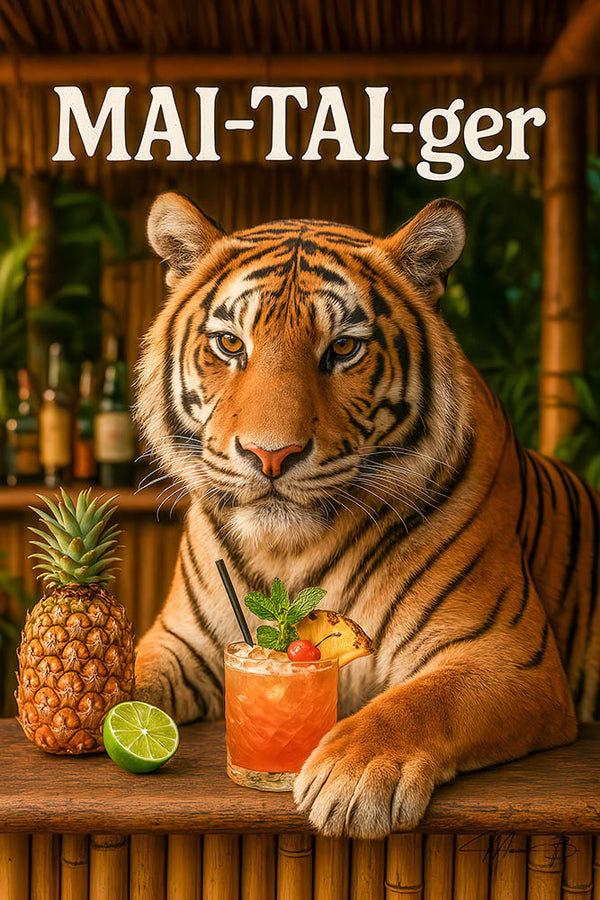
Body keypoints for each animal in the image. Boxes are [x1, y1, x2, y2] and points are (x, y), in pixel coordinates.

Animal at [134, 190, 599, 839]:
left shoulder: (508, 654)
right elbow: (130, 675)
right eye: (230, 344)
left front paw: (356, 773)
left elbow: (422, 701)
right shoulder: (182, 642)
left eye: (343, 348)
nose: (269, 455)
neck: (289, 552)